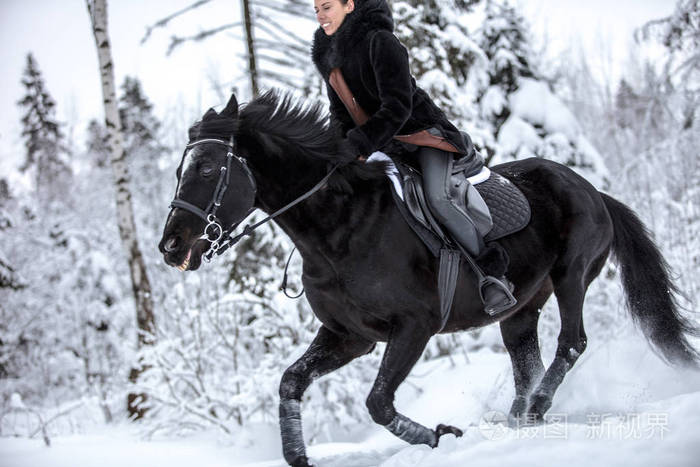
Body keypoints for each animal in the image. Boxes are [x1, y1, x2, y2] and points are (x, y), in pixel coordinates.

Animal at [158, 92, 698, 467]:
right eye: (181, 168)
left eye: (207, 167)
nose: (171, 247)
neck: (340, 225)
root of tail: (595, 191)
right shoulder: (348, 336)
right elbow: (291, 381)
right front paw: (298, 455)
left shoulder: (413, 328)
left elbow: (378, 402)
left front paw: (441, 436)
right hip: (521, 307)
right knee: (527, 359)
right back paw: (517, 419)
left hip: (572, 276)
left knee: (571, 342)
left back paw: (534, 411)